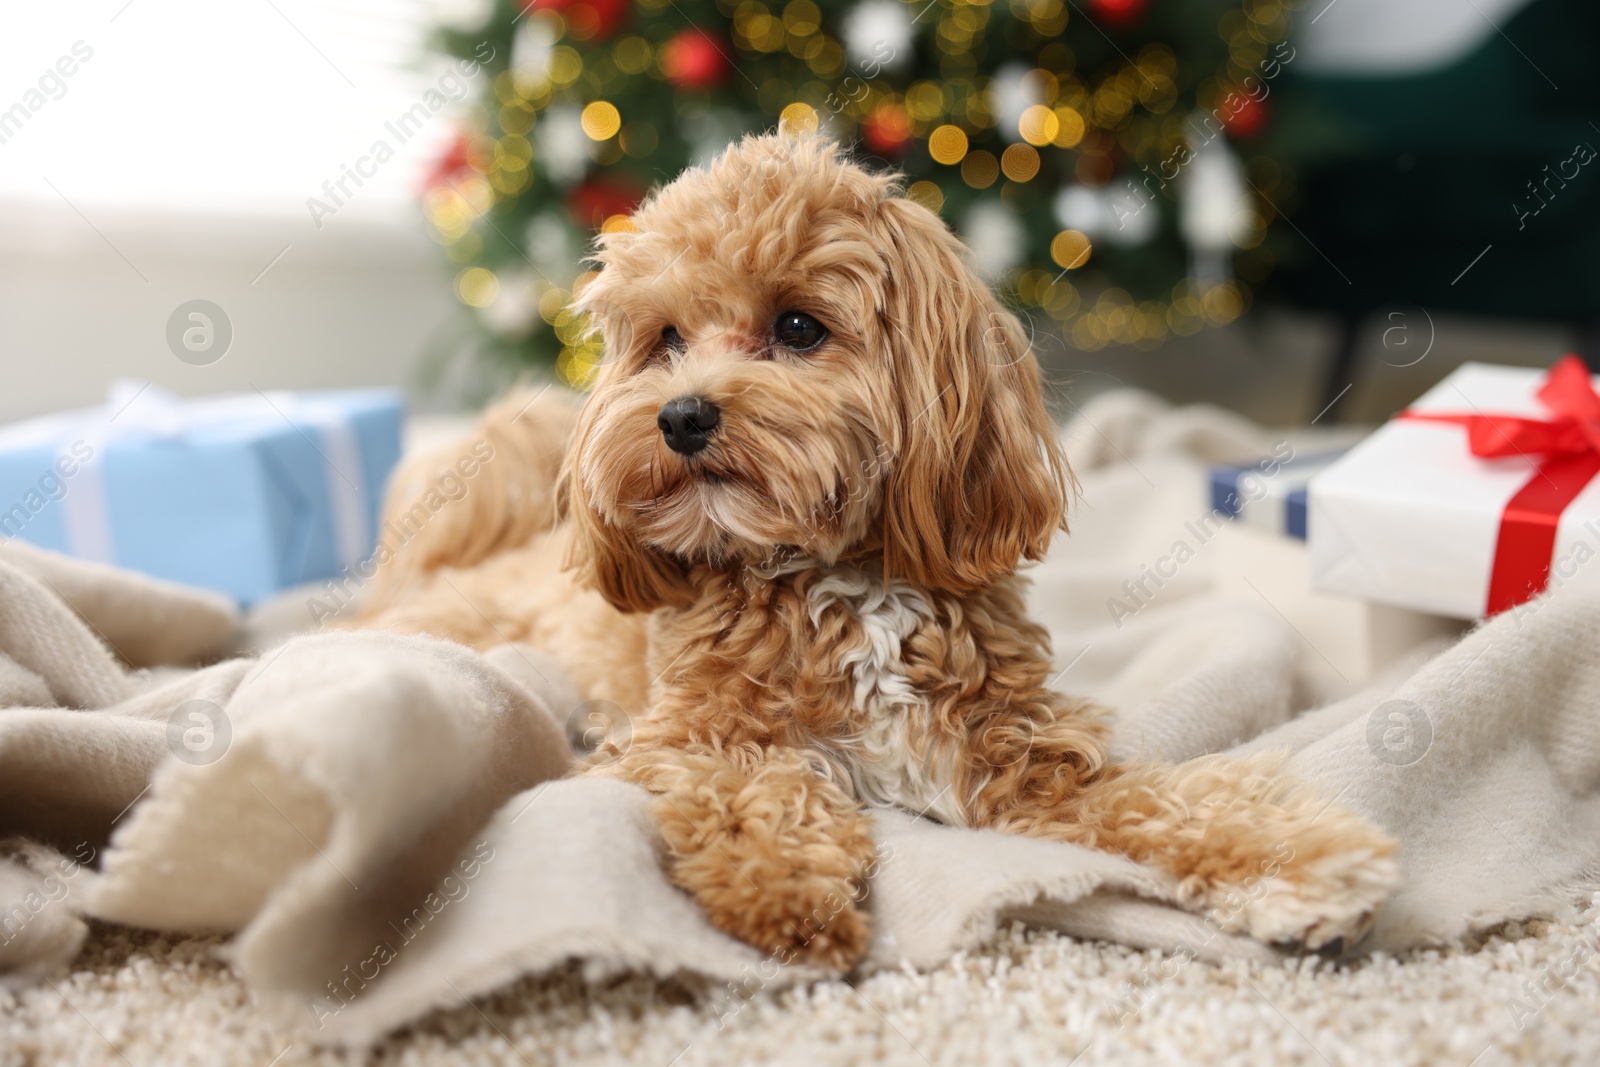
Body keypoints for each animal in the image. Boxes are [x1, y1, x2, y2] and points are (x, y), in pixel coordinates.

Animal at [360, 131, 1401, 966]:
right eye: (665, 339)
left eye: (797, 326)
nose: (681, 415)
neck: (838, 578)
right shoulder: (675, 738)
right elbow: (748, 781)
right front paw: (783, 883)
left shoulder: (1015, 758)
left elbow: (1165, 801)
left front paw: (1299, 864)